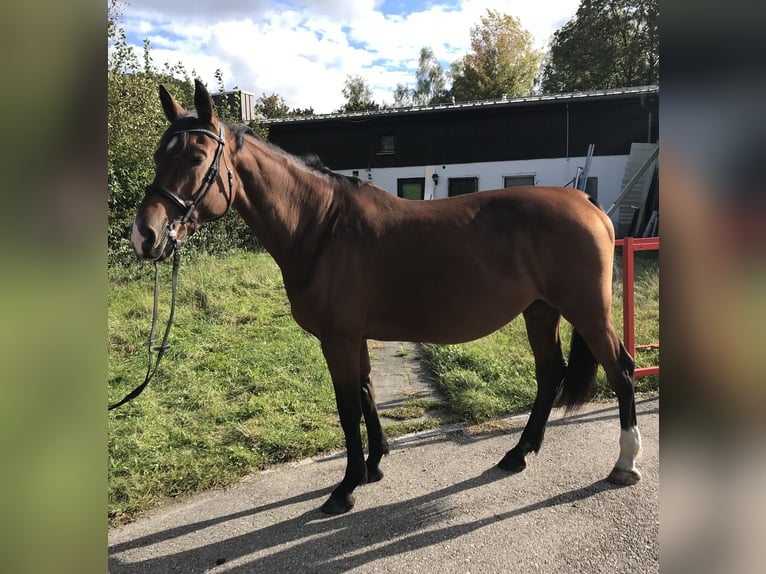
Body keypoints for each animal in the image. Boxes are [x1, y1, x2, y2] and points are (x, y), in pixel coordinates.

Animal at [130, 81, 640, 516]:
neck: (321, 227)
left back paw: (625, 464)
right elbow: (367, 393)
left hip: (587, 311)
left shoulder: (337, 339)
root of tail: (589, 205)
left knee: (622, 371)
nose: (145, 235)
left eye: (196, 158)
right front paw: (374, 466)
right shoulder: (353, 337)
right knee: (550, 374)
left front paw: (345, 488)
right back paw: (518, 454)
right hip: (540, 312)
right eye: (157, 155)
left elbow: (347, 406)